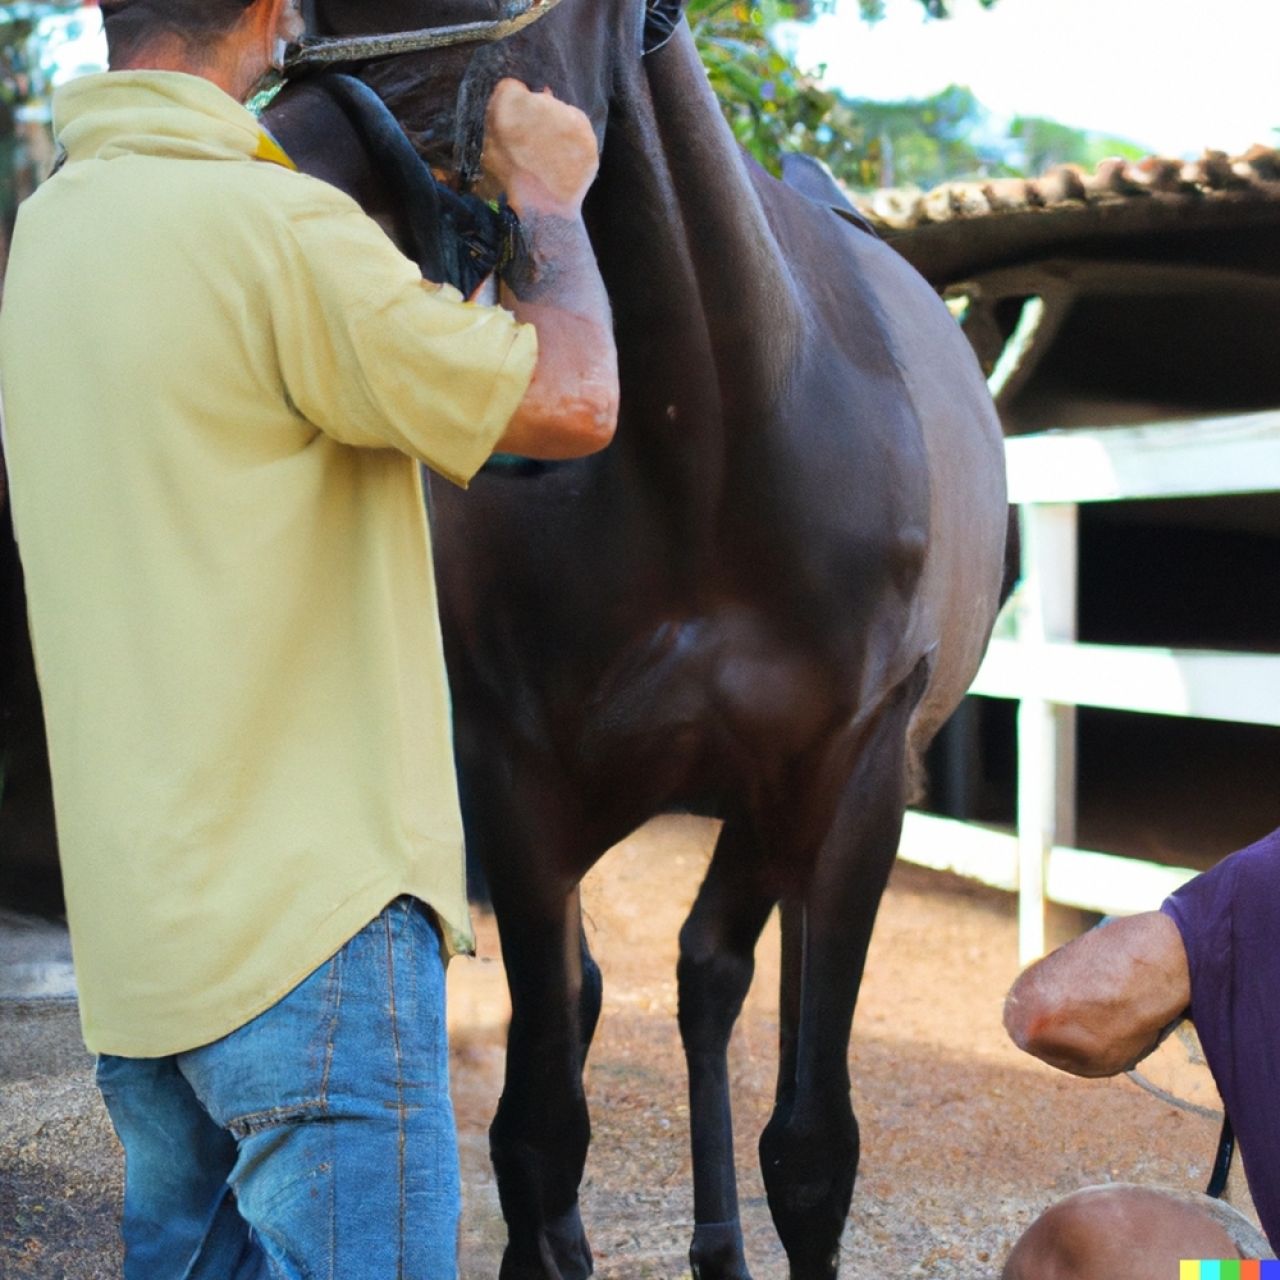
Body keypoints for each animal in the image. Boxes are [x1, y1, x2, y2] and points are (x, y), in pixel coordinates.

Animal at [264, 5, 1008, 1274]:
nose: (273, 172)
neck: (709, 443)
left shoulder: (850, 778)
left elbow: (811, 1152)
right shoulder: (517, 784)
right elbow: (535, 1132)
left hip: (768, 809)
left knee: (710, 974)